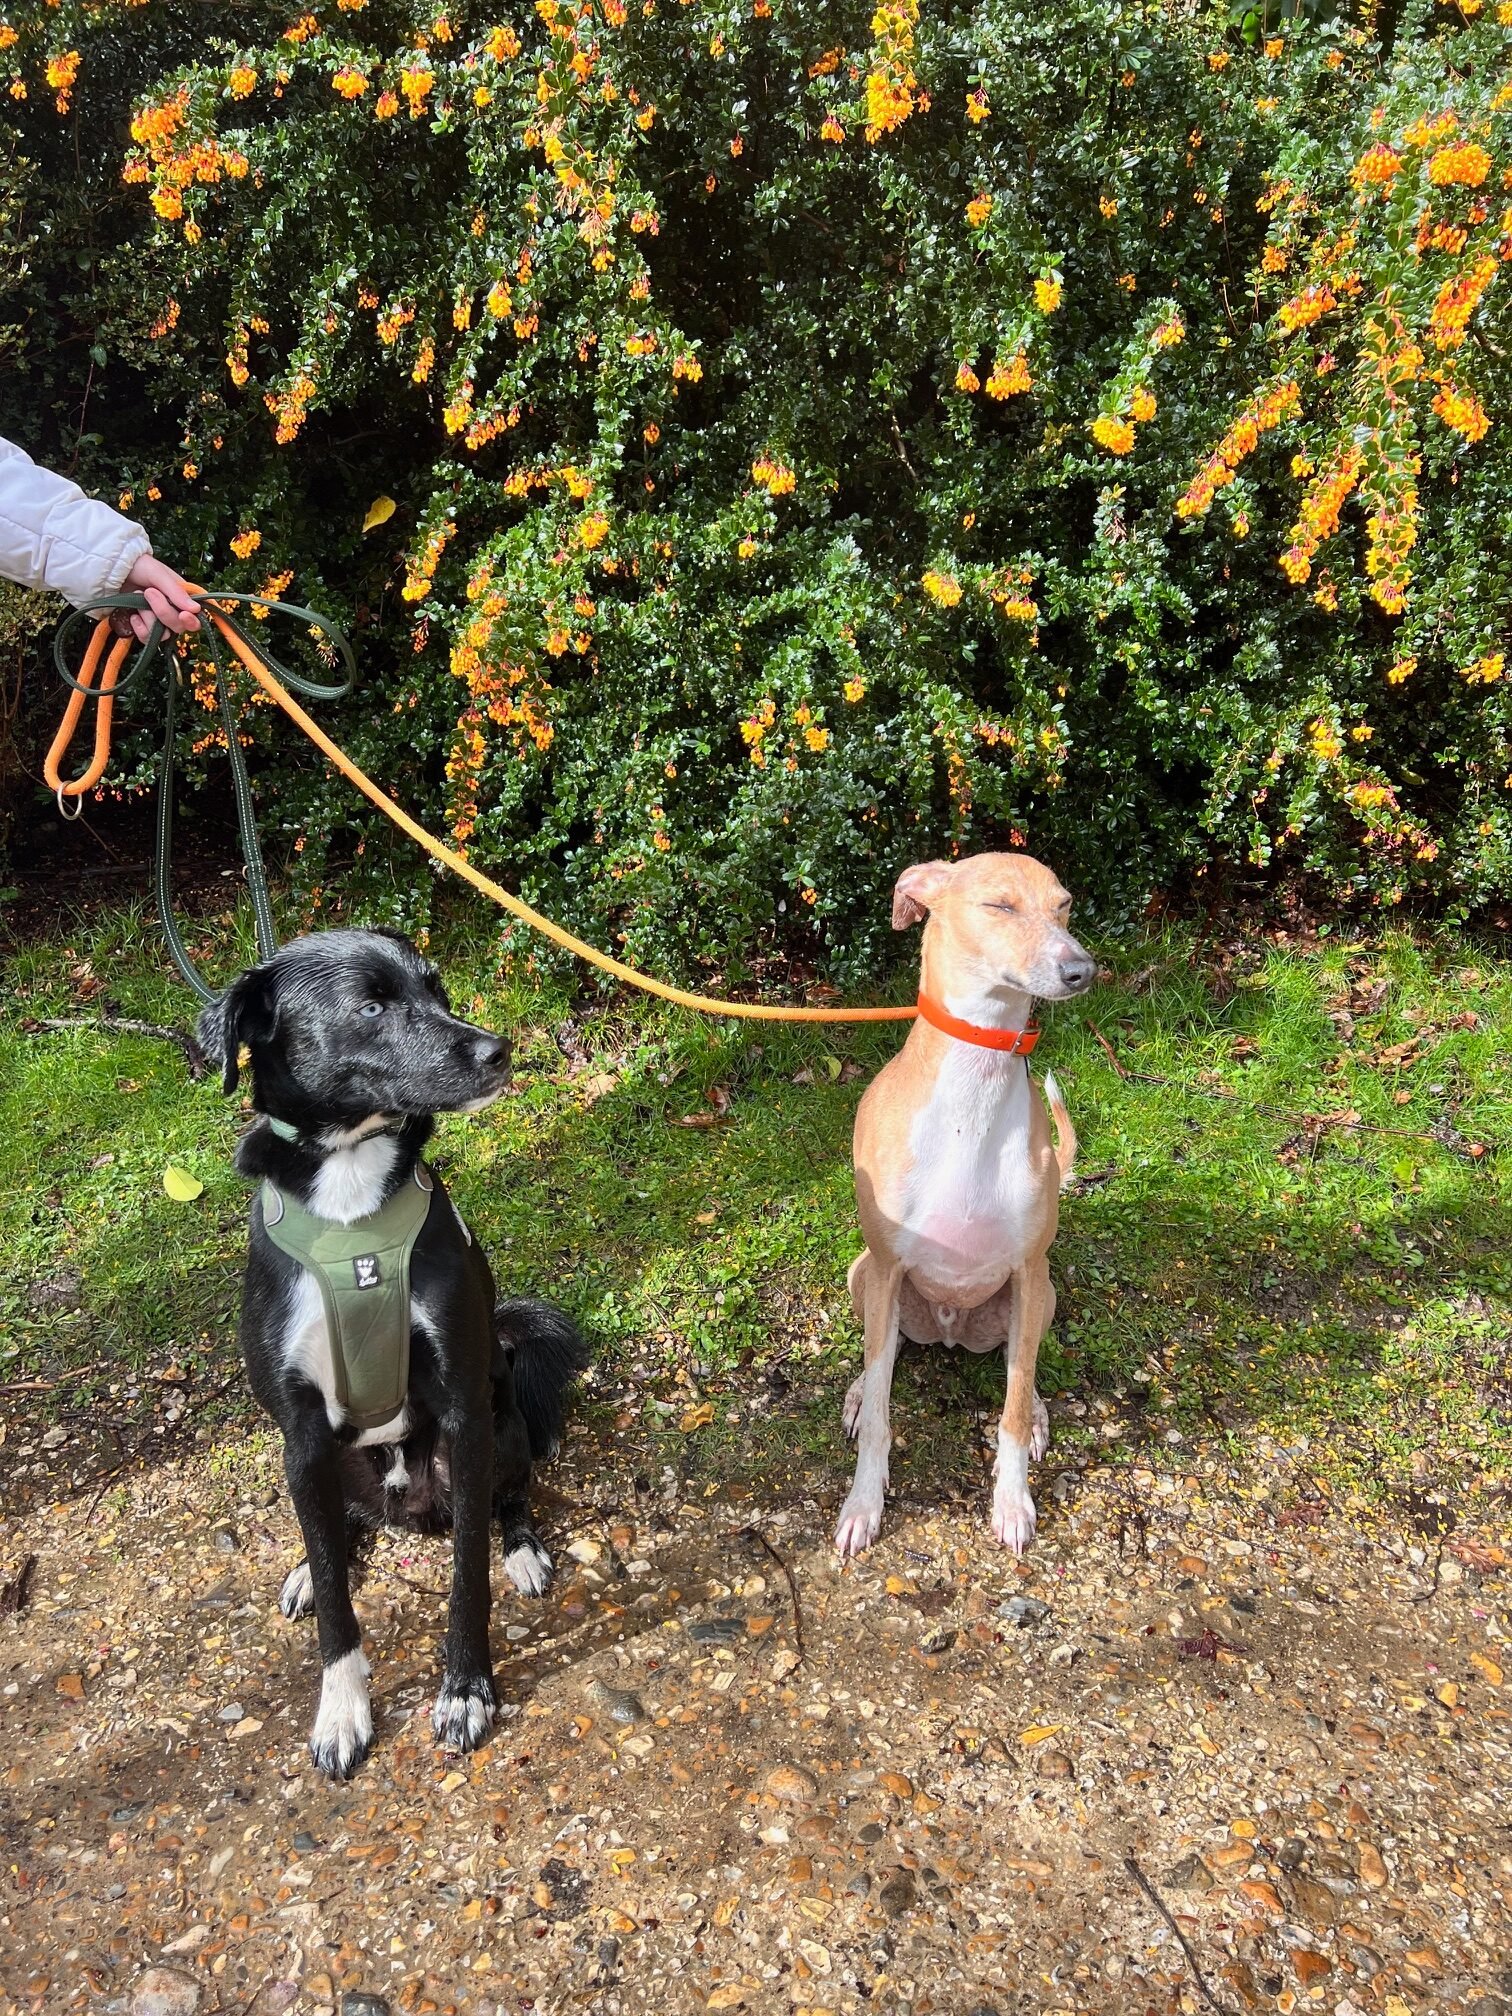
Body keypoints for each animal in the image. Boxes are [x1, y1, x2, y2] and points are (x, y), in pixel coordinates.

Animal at [196, 927, 584, 1782]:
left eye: (436, 989)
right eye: (371, 1007)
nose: (498, 1050)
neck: (351, 1203)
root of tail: (407, 1506)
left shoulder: (466, 1412)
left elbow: (468, 1574)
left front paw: (466, 1689)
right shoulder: (302, 1432)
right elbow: (339, 1611)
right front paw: (342, 1710)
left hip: (503, 1426)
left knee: (509, 1500)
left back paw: (524, 1551)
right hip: (324, 1464)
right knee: (338, 1531)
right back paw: (311, 1568)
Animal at [834, 850, 1096, 1556]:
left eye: (1064, 905)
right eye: (998, 905)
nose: (1082, 970)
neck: (972, 1091)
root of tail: (951, 1331)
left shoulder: (1028, 1269)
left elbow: (1010, 1410)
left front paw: (1011, 1501)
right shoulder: (887, 1266)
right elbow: (882, 1415)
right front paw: (863, 1505)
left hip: (1040, 1294)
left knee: (1020, 1367)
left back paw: (1037, 1409)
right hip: (866, 1278)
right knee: (884, 1354)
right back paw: (860, 1392)